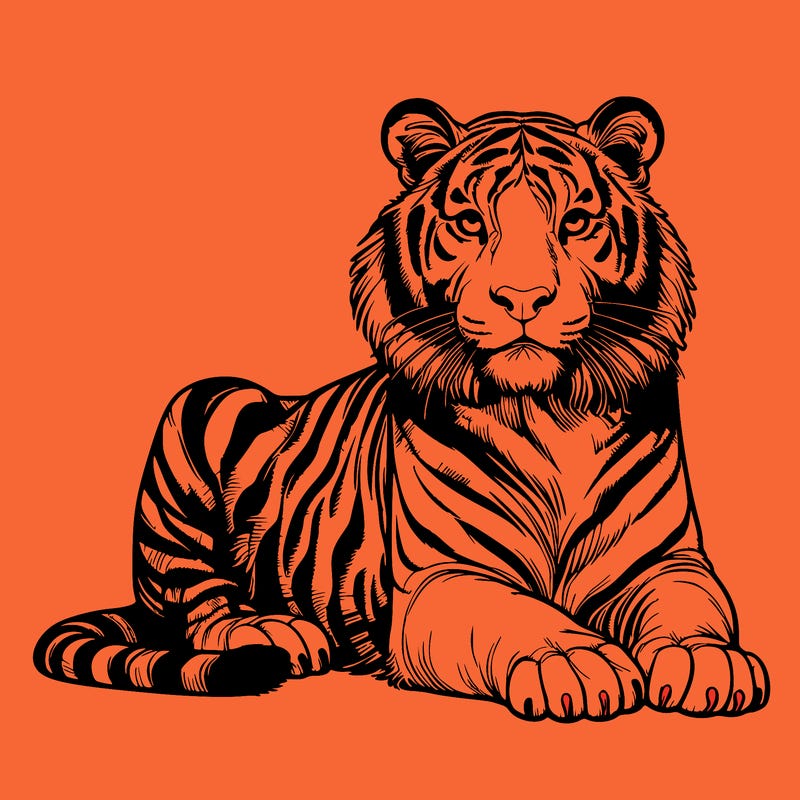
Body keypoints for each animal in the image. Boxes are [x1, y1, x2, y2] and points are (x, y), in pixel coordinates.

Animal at [34, 97, 769, 720]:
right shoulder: (445, 577)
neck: (550, 411)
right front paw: (574, 661)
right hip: (206, 401)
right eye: (470, 223)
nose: (523, 298)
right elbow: (517, 614)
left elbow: (692, 608)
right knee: (199, 603)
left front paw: (708, 662)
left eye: (576, 223)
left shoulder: (668, 559)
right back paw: (275, 631)